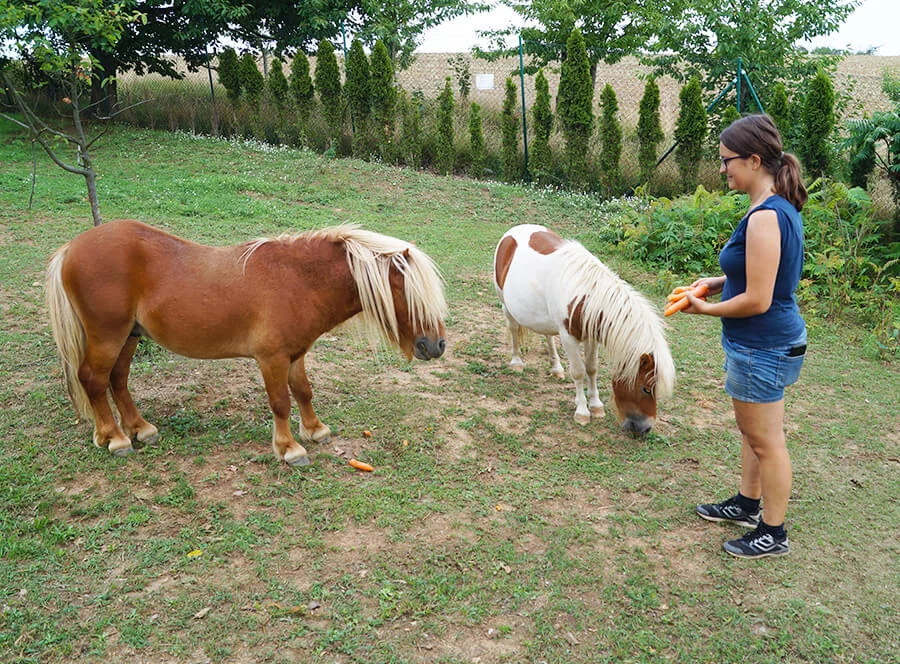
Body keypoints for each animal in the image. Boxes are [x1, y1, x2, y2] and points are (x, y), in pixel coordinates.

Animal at [45, 222, 446, 466]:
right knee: (94, 380)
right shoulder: (271, 358)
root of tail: (71, 248)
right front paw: (289, 448)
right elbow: (281, 402)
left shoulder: (295, 354)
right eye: (409, 294)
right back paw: (114, 438)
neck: (298, 281)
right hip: (107, 335)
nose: (437, 345)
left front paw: (315, 430)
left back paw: (140, 429)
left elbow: (303, 391)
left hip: (129, 336)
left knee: (118, 379)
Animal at [492, 223, 676, 434]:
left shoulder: (592, 336)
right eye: (645, 388)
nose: (645, 428)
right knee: (513, 329)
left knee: (547, 336)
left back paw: (556, 368)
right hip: (505, 304)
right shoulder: (568, 337)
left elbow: (592, 368)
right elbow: (579, 371)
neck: (585, 298)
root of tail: (514, 231)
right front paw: (582, 411)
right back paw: (516, 362)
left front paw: (596, 406)